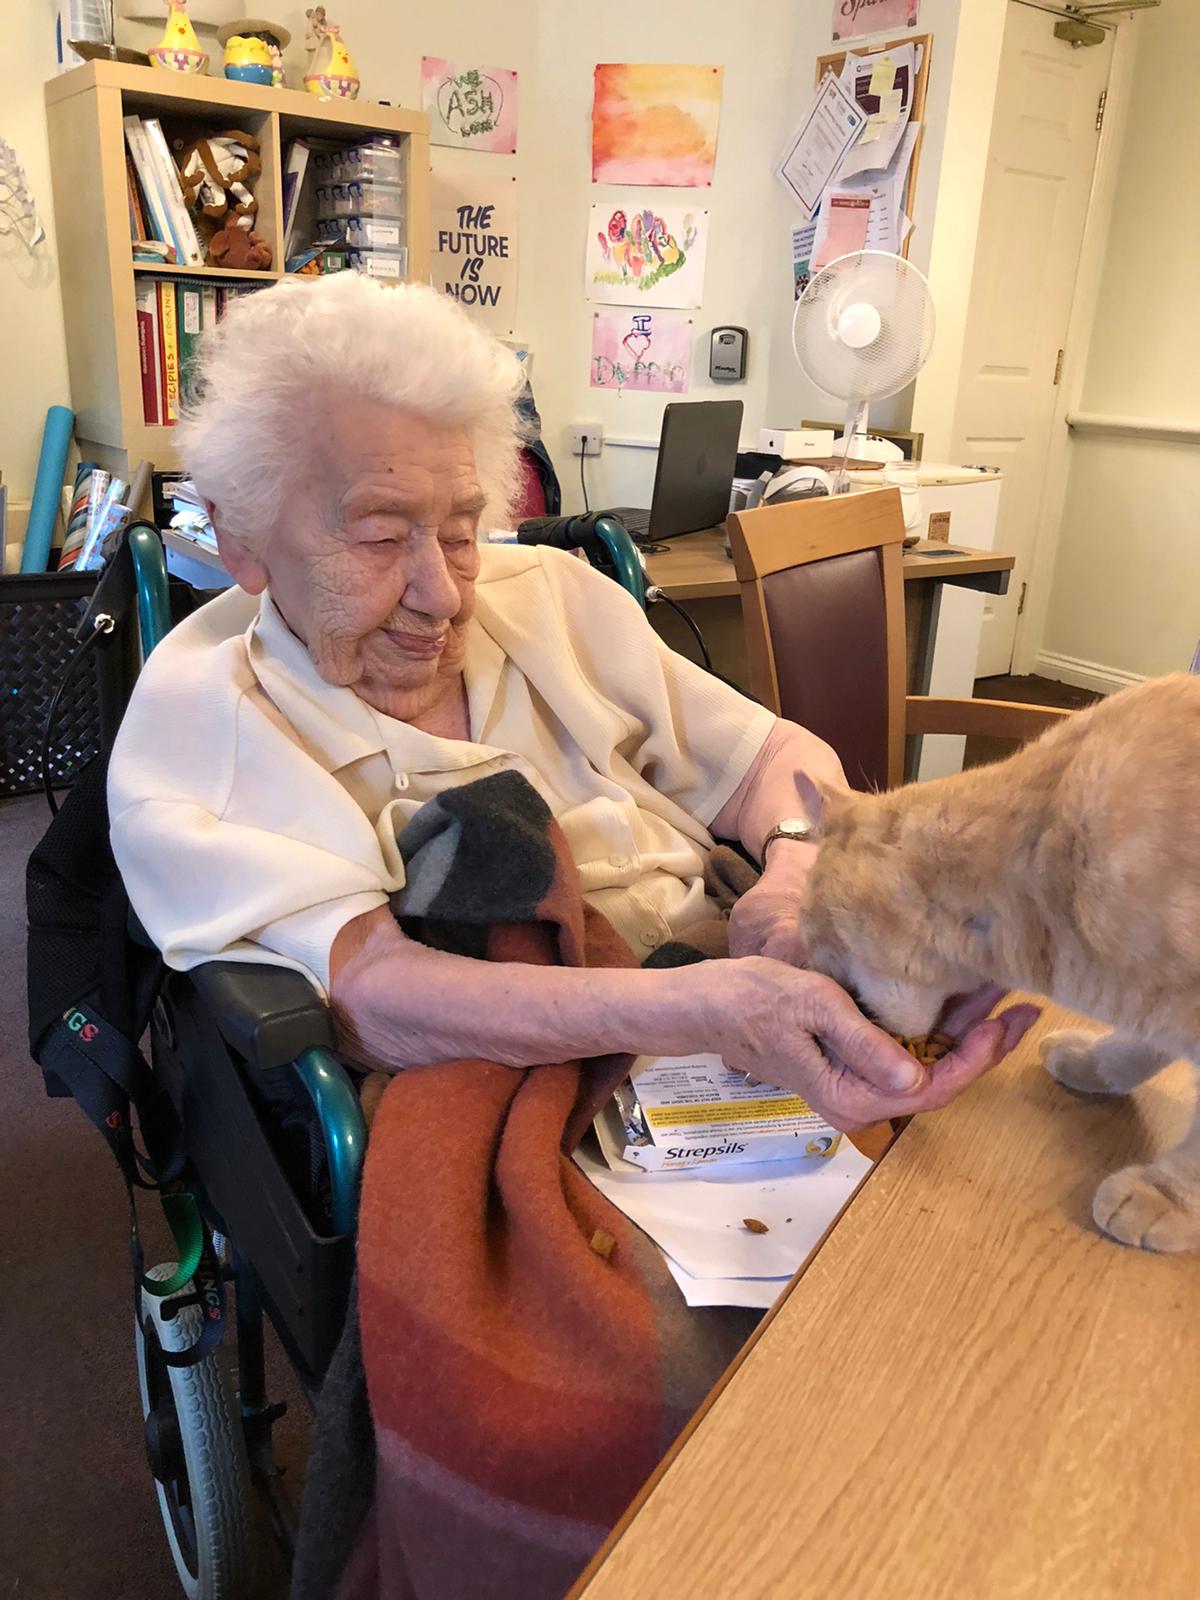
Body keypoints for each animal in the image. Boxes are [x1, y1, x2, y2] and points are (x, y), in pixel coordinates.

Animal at [798, 673, 1200, 1253]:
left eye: (832, 960)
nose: (834, 1013)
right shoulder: (1159, 1004)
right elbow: (1140, 1042)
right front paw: (1095, 1064)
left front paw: (1165, 1194)